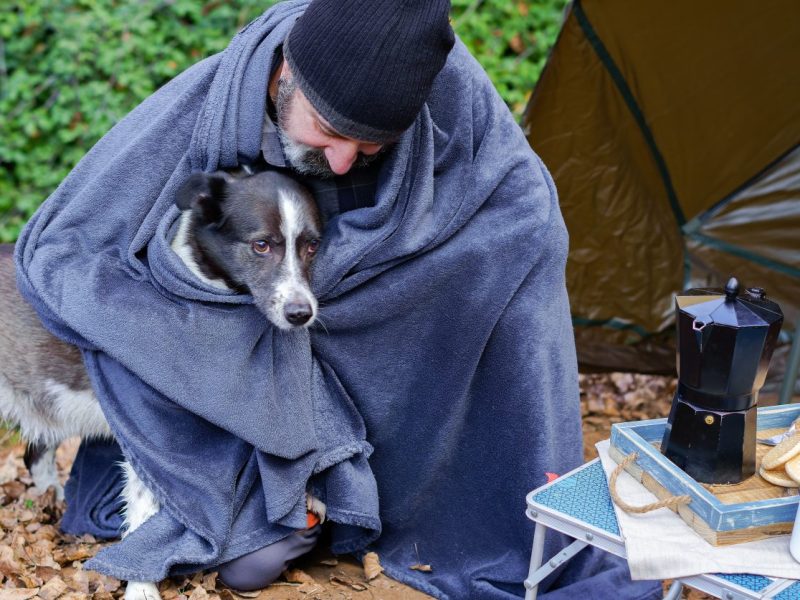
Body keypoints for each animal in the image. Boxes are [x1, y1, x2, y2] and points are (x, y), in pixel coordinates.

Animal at [0, 168, 324, 600]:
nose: (301, 313)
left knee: (35, 456)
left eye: (311, 247)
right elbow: (145, 510)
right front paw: (142, 586)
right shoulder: (149, 432)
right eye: (261, 245)